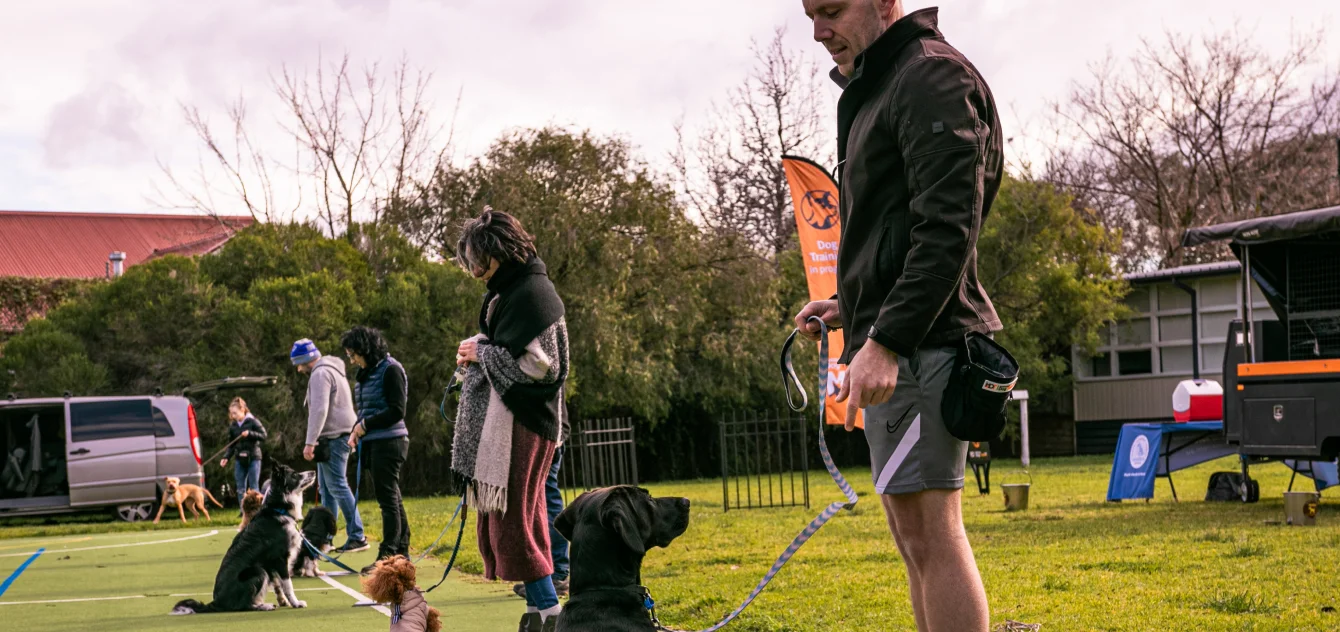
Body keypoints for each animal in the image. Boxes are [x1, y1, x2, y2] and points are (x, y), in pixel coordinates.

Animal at [171, 460, 317, 615]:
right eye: (295, 475)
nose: (314, 472)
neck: (279, 509)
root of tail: (217, 602)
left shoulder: (272, 564)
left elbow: (279, 585)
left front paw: (284, 601)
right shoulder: (280, 558)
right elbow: (288, 584)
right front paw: (296, 603)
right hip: (258, 571)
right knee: (244, 606)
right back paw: (263, 606)